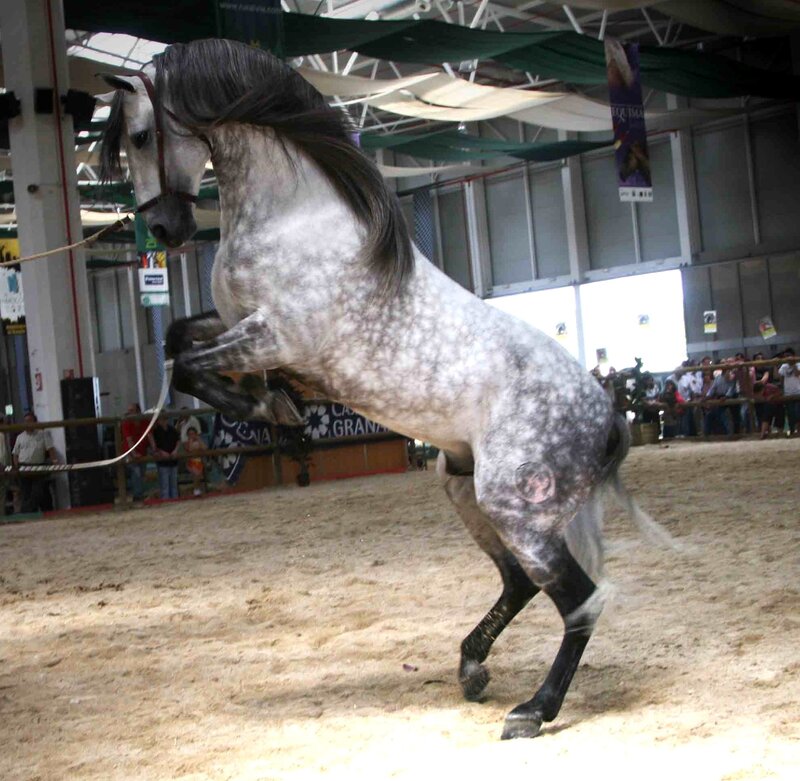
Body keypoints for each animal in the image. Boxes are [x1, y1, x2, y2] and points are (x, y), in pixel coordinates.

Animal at [98, 39, 661, 740]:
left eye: (141, 136)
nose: (166, 231)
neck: (296, 218)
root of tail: (605, 413)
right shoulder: (235, 322)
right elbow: (178, 343)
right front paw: (276, 404)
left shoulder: (274, 335)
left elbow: (189, 366)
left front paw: (272, 406)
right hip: (463, 488)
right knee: (521, 585)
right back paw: (473, 669)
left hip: (512, 504)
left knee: (580, 602)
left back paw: (532, 711)